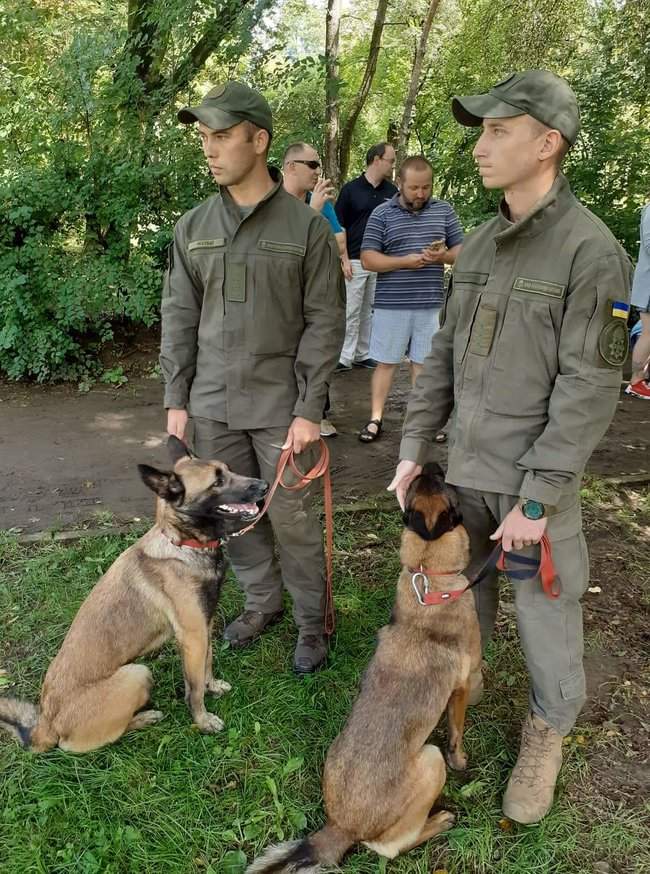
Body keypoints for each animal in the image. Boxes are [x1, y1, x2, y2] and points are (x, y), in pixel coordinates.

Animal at [0, 436, 268, 748]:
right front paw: (202, 721)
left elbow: (207, 666)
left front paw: (213, 686)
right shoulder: (193, 636)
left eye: (228, 469)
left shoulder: (205, 626)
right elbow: (194, 688)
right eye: (217, 482)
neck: (182, 545)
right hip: (137, 673)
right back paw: (145, 717)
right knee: (103, 737)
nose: (264, 485)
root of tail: (46, 725)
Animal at [248, 460, 480, 868]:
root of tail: (341, 827)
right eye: (443, 485)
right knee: (391, 846)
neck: (427, 574)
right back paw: (441, 820)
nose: (430, 463)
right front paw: (462, 759)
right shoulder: (462, 687)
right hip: (430, 760)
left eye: (423, 480)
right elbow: (456, 731)